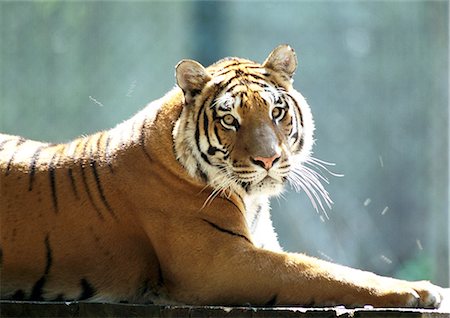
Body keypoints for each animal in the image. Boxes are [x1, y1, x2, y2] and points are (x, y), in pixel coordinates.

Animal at [0, 45, 442, 308]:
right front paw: (417, 290)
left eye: (277, 112)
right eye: (230, 120)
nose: (268, 159)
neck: (251, 199)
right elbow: (320, 272)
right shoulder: (220, 260)